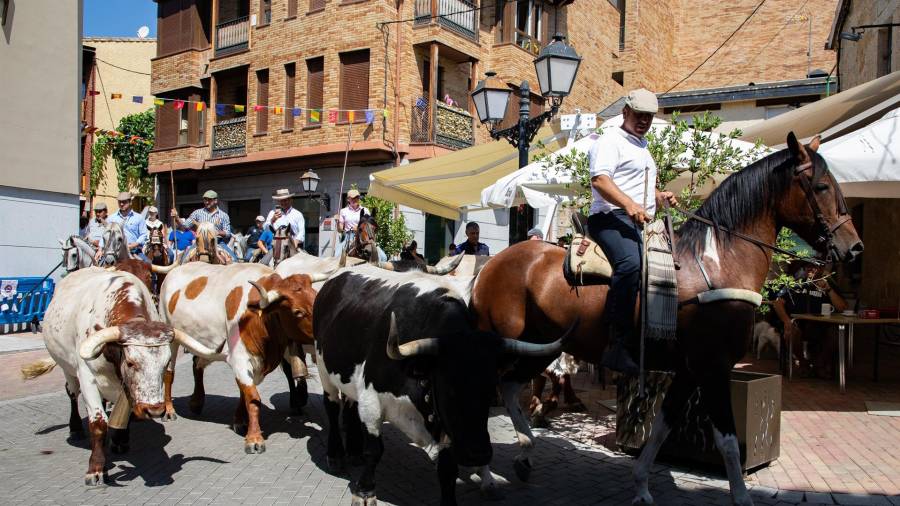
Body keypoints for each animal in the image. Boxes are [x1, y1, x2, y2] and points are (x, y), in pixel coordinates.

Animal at [21, 268, 221, 486]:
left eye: (165, 363)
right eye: (131, 363)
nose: (155, 411)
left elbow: (124, 411)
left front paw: (120, 440)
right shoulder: (87, 377)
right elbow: (98, 423)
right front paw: (96, 468)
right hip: (69, 369)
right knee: (72, 393)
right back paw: (75, 428)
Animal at [158, 262, 326, 452]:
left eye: (316, 298)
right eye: (298, 312)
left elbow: (243, 392)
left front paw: (240, 421)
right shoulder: (239, 359)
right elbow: (252, 397)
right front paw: (254, 438)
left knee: (197, 364)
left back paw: (196, 402)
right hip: (170, 338)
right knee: (169, 373)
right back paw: (169, 410)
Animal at [312, 266, 572, 504]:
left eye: (491, 392)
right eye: (449, 388)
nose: (478, 453)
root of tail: (338, 276)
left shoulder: (447, 425)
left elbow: (448, 468)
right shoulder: (372, 401)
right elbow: (374, 450)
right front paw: (365, 491)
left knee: (348, 404)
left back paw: (353, 452)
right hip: (323, 368)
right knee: (332, 407)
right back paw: (336, 455)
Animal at [468, 134, 860, 506]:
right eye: (821, 186)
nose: (854, 248)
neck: (717, 263)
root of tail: (492, 264)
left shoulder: (688, 371)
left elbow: (662, 427)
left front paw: (642, 485)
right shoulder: (713, 367)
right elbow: (728, 441)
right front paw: (742, 496)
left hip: (542, 346)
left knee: (510, 387)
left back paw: (524, 453)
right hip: (502, 344)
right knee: (483, 392)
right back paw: (486, 475)